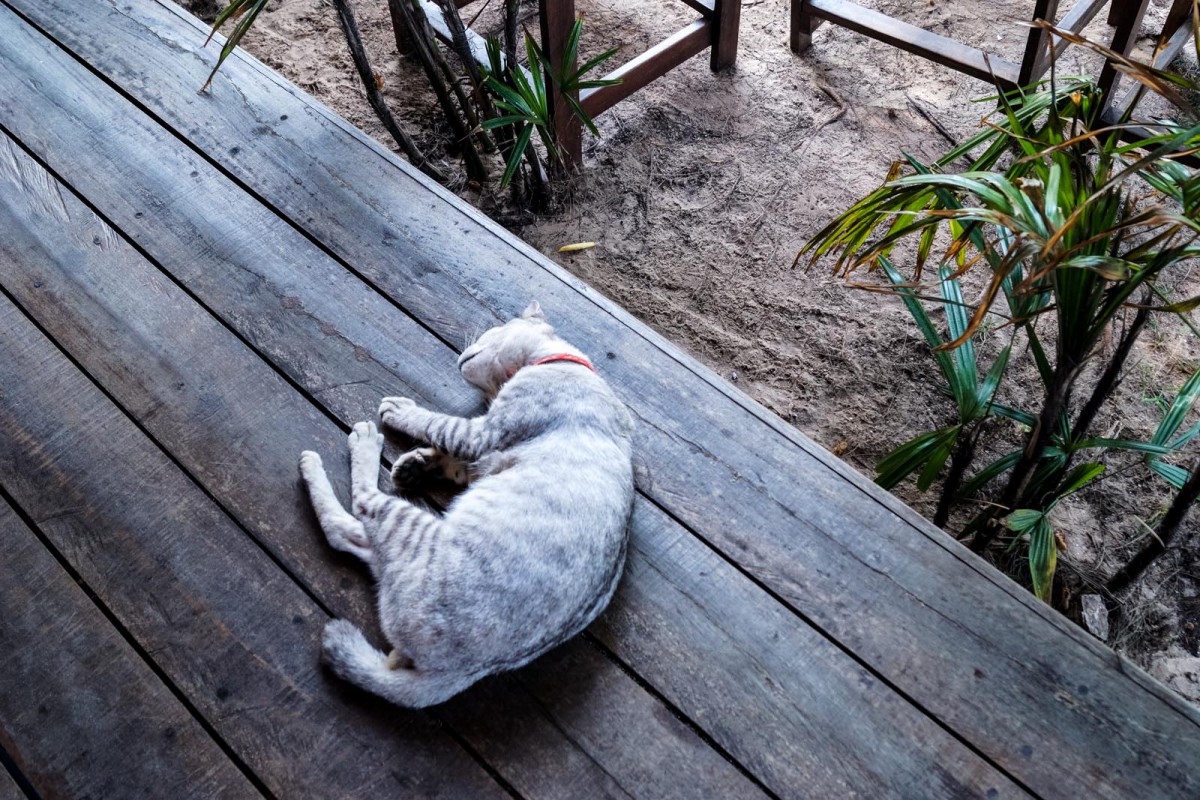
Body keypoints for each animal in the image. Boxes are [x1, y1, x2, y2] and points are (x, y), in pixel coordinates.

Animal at [297, 303, 638, 710]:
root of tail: (453, 676)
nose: (463, 354)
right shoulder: (485, 453)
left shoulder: (484, 432)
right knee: (350, 534)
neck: (564, 363)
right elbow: (456, 460)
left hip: (412, 528)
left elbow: (439, 425)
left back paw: (352, 447)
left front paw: (403, 414)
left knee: (355, 509)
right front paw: (417, 465)